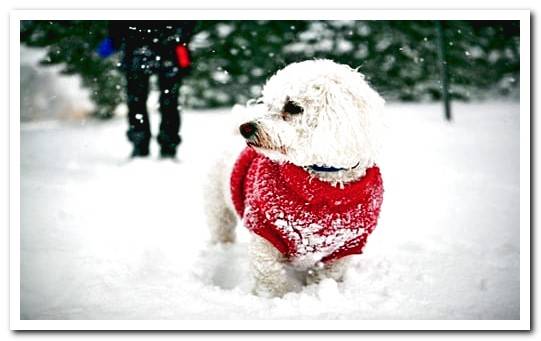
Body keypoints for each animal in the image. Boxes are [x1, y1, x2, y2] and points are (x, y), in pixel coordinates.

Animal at [202, 59, 384, 296]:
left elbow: (327, 275)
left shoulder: (346, 246)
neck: (324, 185)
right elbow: (268, 275)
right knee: (221, 228)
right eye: (268, 104)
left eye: (293, 107)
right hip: (218, 206)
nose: (245, 128)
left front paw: (317, 290)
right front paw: (275, 297)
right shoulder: (264, 231)